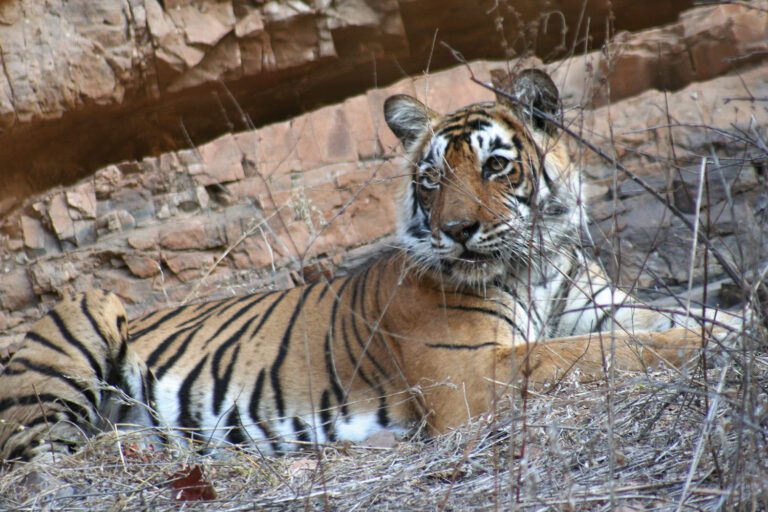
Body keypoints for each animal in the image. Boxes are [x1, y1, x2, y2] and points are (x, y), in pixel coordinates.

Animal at [0, 69, 742, 465]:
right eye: (433, 178)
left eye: (497, 166)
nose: (458, 231)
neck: (534, 263)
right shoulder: (473, 374)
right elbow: (608, 353)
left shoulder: (596, 306)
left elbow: (672, 316)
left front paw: (737, 323)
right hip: (82, 318)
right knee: (39, 459)